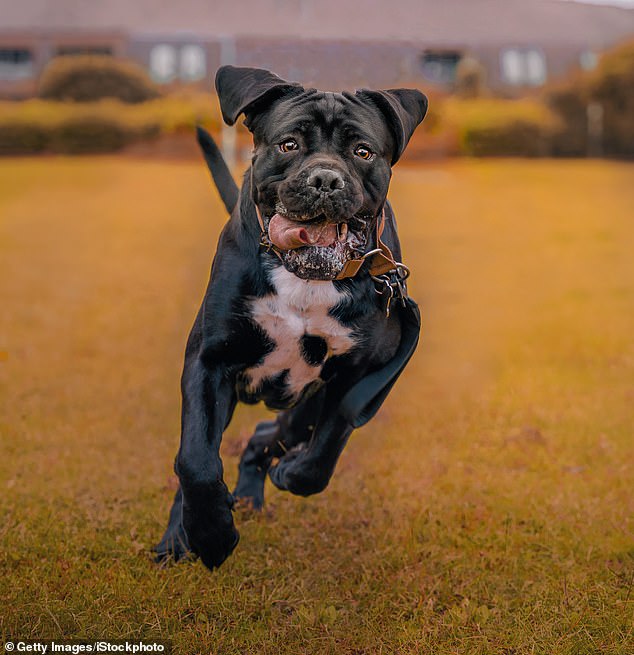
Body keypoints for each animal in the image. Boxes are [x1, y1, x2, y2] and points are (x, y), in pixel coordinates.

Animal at [156, 64, 428, 572]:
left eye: (362, 151)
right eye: (288, 144)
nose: (325, 179)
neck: (305, 277)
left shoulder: (362, 373)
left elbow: (330, 441)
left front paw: (293, 474)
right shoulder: (210, 361)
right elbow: (195, 460)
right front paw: (210, 536)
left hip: (305, 401)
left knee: (277, 431)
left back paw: (254, 488)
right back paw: (179, 539)